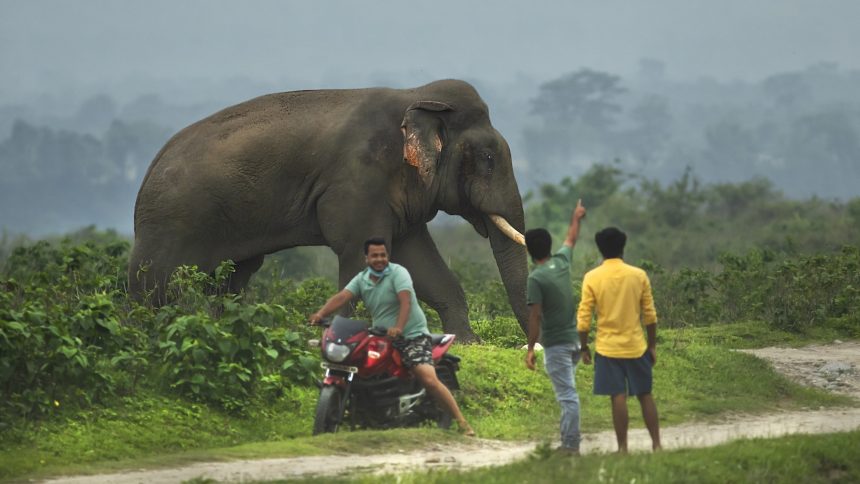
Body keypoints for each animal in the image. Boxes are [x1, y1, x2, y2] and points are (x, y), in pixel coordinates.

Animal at [129, 79, 528, 341]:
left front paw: (464, 341)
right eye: (488, 159)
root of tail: (148, 171)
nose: (531, 347)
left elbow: (418, 260)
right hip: (172, 222)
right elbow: (362, 250)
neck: (415, 96)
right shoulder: (358, 179)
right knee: (157, 284)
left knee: (233, 277)